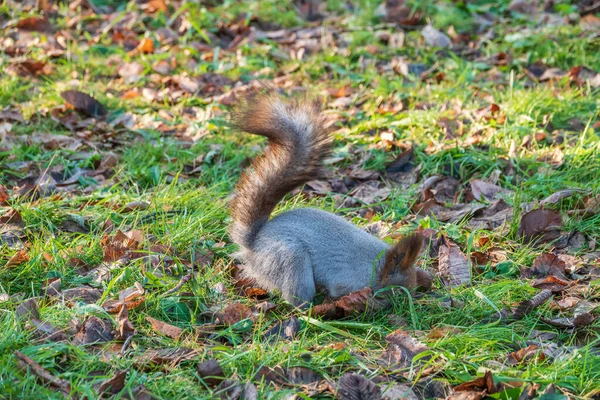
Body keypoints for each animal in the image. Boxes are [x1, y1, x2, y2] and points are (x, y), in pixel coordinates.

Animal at [230, 93, 432, 306]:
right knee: (297, 297)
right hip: (290, 262)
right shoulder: (348, 280)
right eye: (399, 290)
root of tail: (253, 246)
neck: (377, 264)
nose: (408, 303)